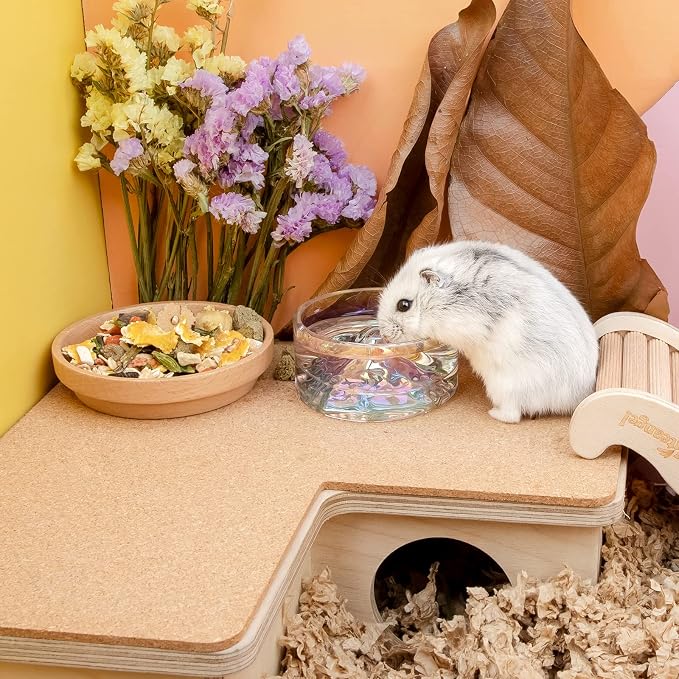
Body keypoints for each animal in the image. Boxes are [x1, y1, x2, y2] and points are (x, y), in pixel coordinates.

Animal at [377, 241, 599, 423]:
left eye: (404, 305)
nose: (384, 337)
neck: (446, 299)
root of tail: (578, 398)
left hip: (506, 388)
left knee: (512, 416)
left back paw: (493, 413)